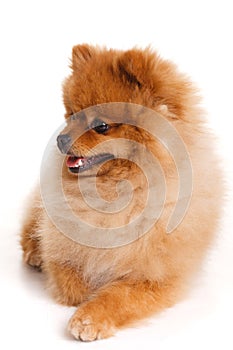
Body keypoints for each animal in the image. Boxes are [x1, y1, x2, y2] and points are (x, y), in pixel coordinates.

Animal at [20, 44, 222, 342]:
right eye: (71, 115)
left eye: (101, 126)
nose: (60, 139)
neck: (117, 191)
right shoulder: (63, 247)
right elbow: (70, 280)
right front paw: (84, 291)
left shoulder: (157, 275)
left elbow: (122, 296)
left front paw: (90, 317)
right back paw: (32, 251)